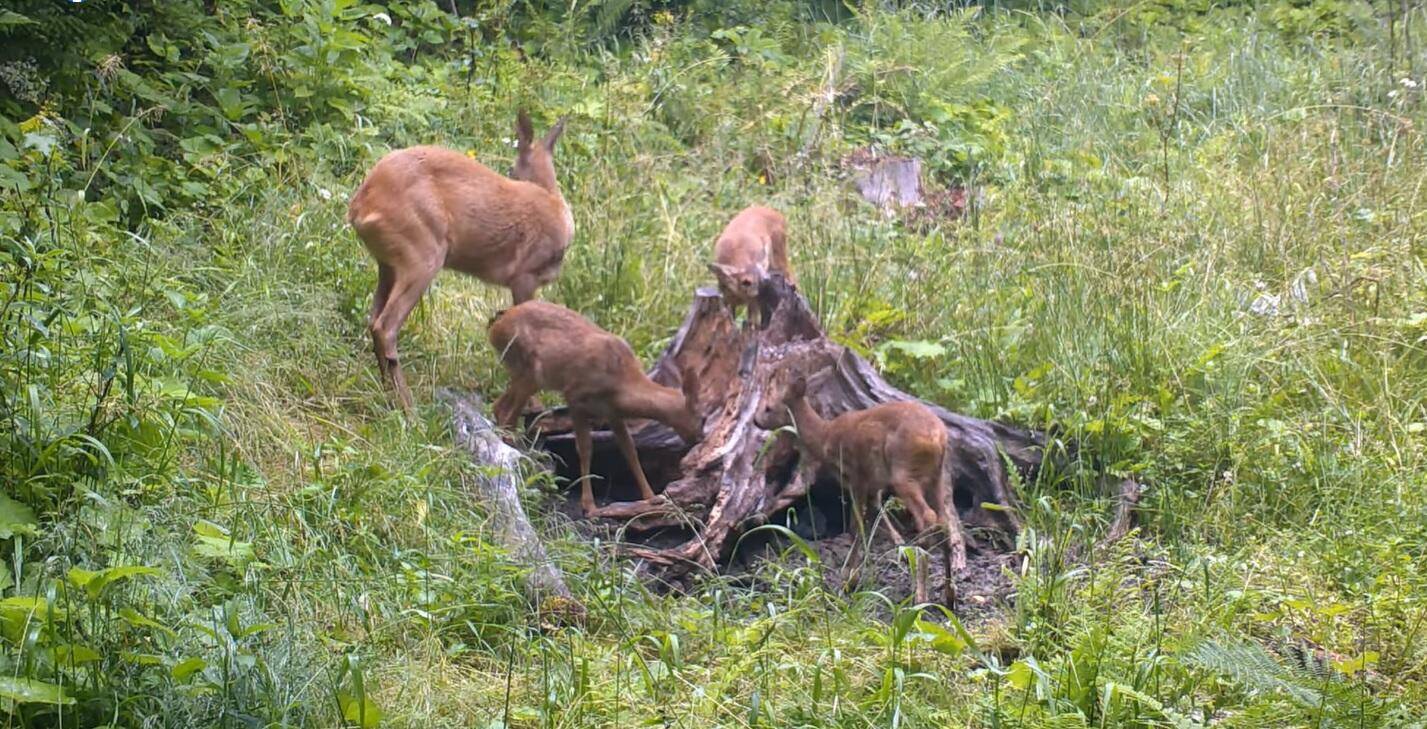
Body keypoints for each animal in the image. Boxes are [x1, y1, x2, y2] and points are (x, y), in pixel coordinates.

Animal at [348, 111, 570, 413]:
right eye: (511, 170)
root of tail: (361, 206)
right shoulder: (525, 275)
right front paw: (533, 405)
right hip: (422, 253)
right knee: (386, 326)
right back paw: (409, 406)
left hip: (388, 263)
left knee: (373, 319)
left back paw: (388, 393)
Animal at [488, 299, 704, 516]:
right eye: (702, 417)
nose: (699, 438)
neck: (621, 383)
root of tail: (497, 323)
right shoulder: (575, 397)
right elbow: (585, 449)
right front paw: (589, 506)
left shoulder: (613, 413)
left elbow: (630, 450)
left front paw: (651, 497)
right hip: (529, 370)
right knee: (508, 414)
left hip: (523, 374)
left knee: (499, 406)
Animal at [759, 376, 958, 604]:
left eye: (768, 407)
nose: (756, 420)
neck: (825, 436)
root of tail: (937, 438)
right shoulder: (872, 482)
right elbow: (874, 512)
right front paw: (895, 548)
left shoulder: (856, 476)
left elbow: (856, 527)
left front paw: (847, 579)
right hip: (937, 475)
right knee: (945, 522)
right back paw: (949, 595)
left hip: (905, 473)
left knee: (928, 517)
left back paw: (921, 595)